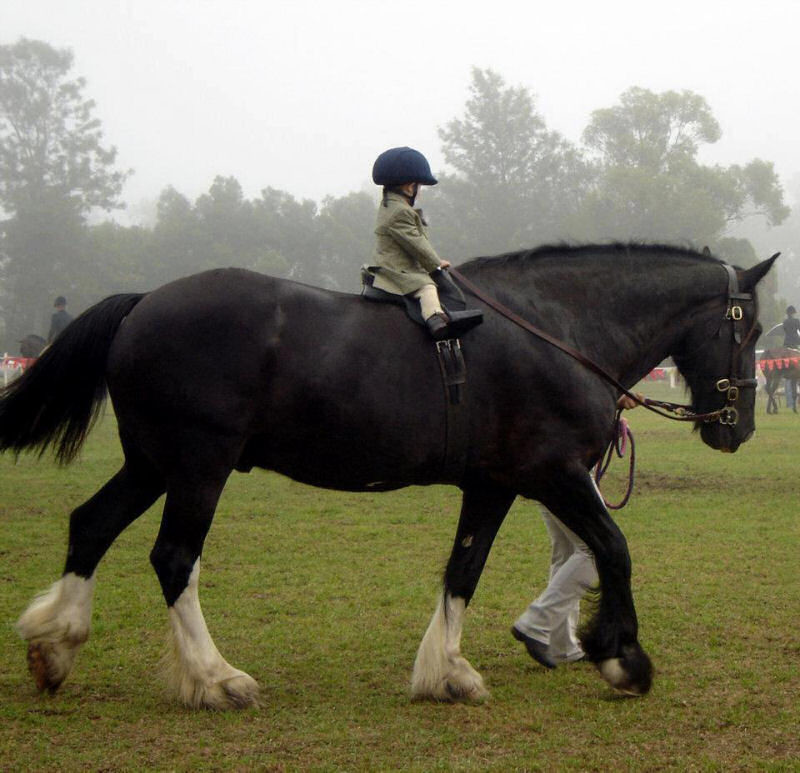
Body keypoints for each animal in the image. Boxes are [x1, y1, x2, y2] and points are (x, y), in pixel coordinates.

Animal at [0, 241, 776, 704]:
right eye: (756, 330)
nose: (737, 428)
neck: (555, 329)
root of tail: (144, 302)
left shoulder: (495, 484)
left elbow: (464, 571)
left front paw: (447, 671)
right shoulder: (553, 473)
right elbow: (613, 548)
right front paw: (624, 656)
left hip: (153, 464)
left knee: (91, 526)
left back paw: (55, 648)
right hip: (198, 467)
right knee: (173, 559)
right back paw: (216, 678)